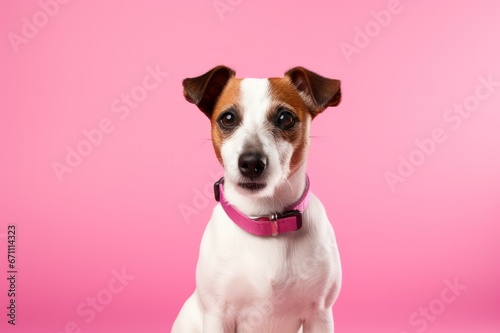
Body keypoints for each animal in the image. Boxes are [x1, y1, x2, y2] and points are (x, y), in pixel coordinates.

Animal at [173, 65, 344, 332]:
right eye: (228, 118)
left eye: (285, 118)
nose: (251, 162)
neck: (265, 218)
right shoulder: (217, 315)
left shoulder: (320, 315)